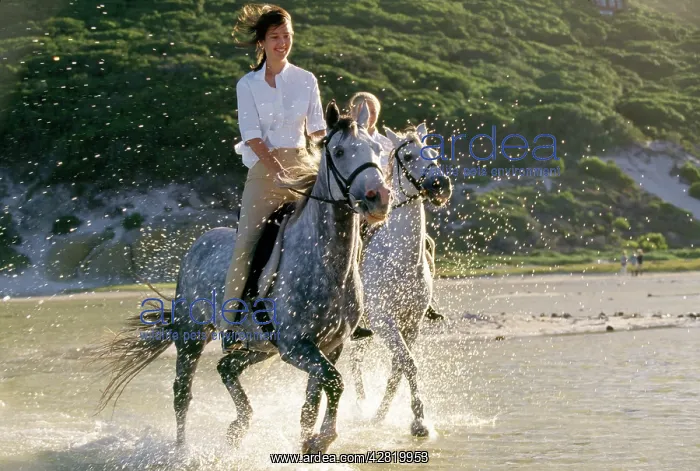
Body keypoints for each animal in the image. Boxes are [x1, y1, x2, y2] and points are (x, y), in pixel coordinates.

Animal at [94, 100, 391, 454]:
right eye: (341, 151)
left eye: (378, 149)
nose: (378, 197)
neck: (328, 266)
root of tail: (198, 245)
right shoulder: (297, 347)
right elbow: (334, 382)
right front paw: (323, 438)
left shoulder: (330, 346)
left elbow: (314, 401)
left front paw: (312, 442)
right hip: (192, 337)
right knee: (182, 394)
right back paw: (182, 452)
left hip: (257, 348)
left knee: (226, 368)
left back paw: (238, 427)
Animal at [351, 123, 453, 437]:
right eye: (408, 156)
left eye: (433, 152)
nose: (440, 185)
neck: (399, 260)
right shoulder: (384, 322)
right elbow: (408, 363)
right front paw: (418, 420)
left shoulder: (411, 324)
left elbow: (399, 368)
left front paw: (386, 415)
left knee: (355, 361)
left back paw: (364, 406)